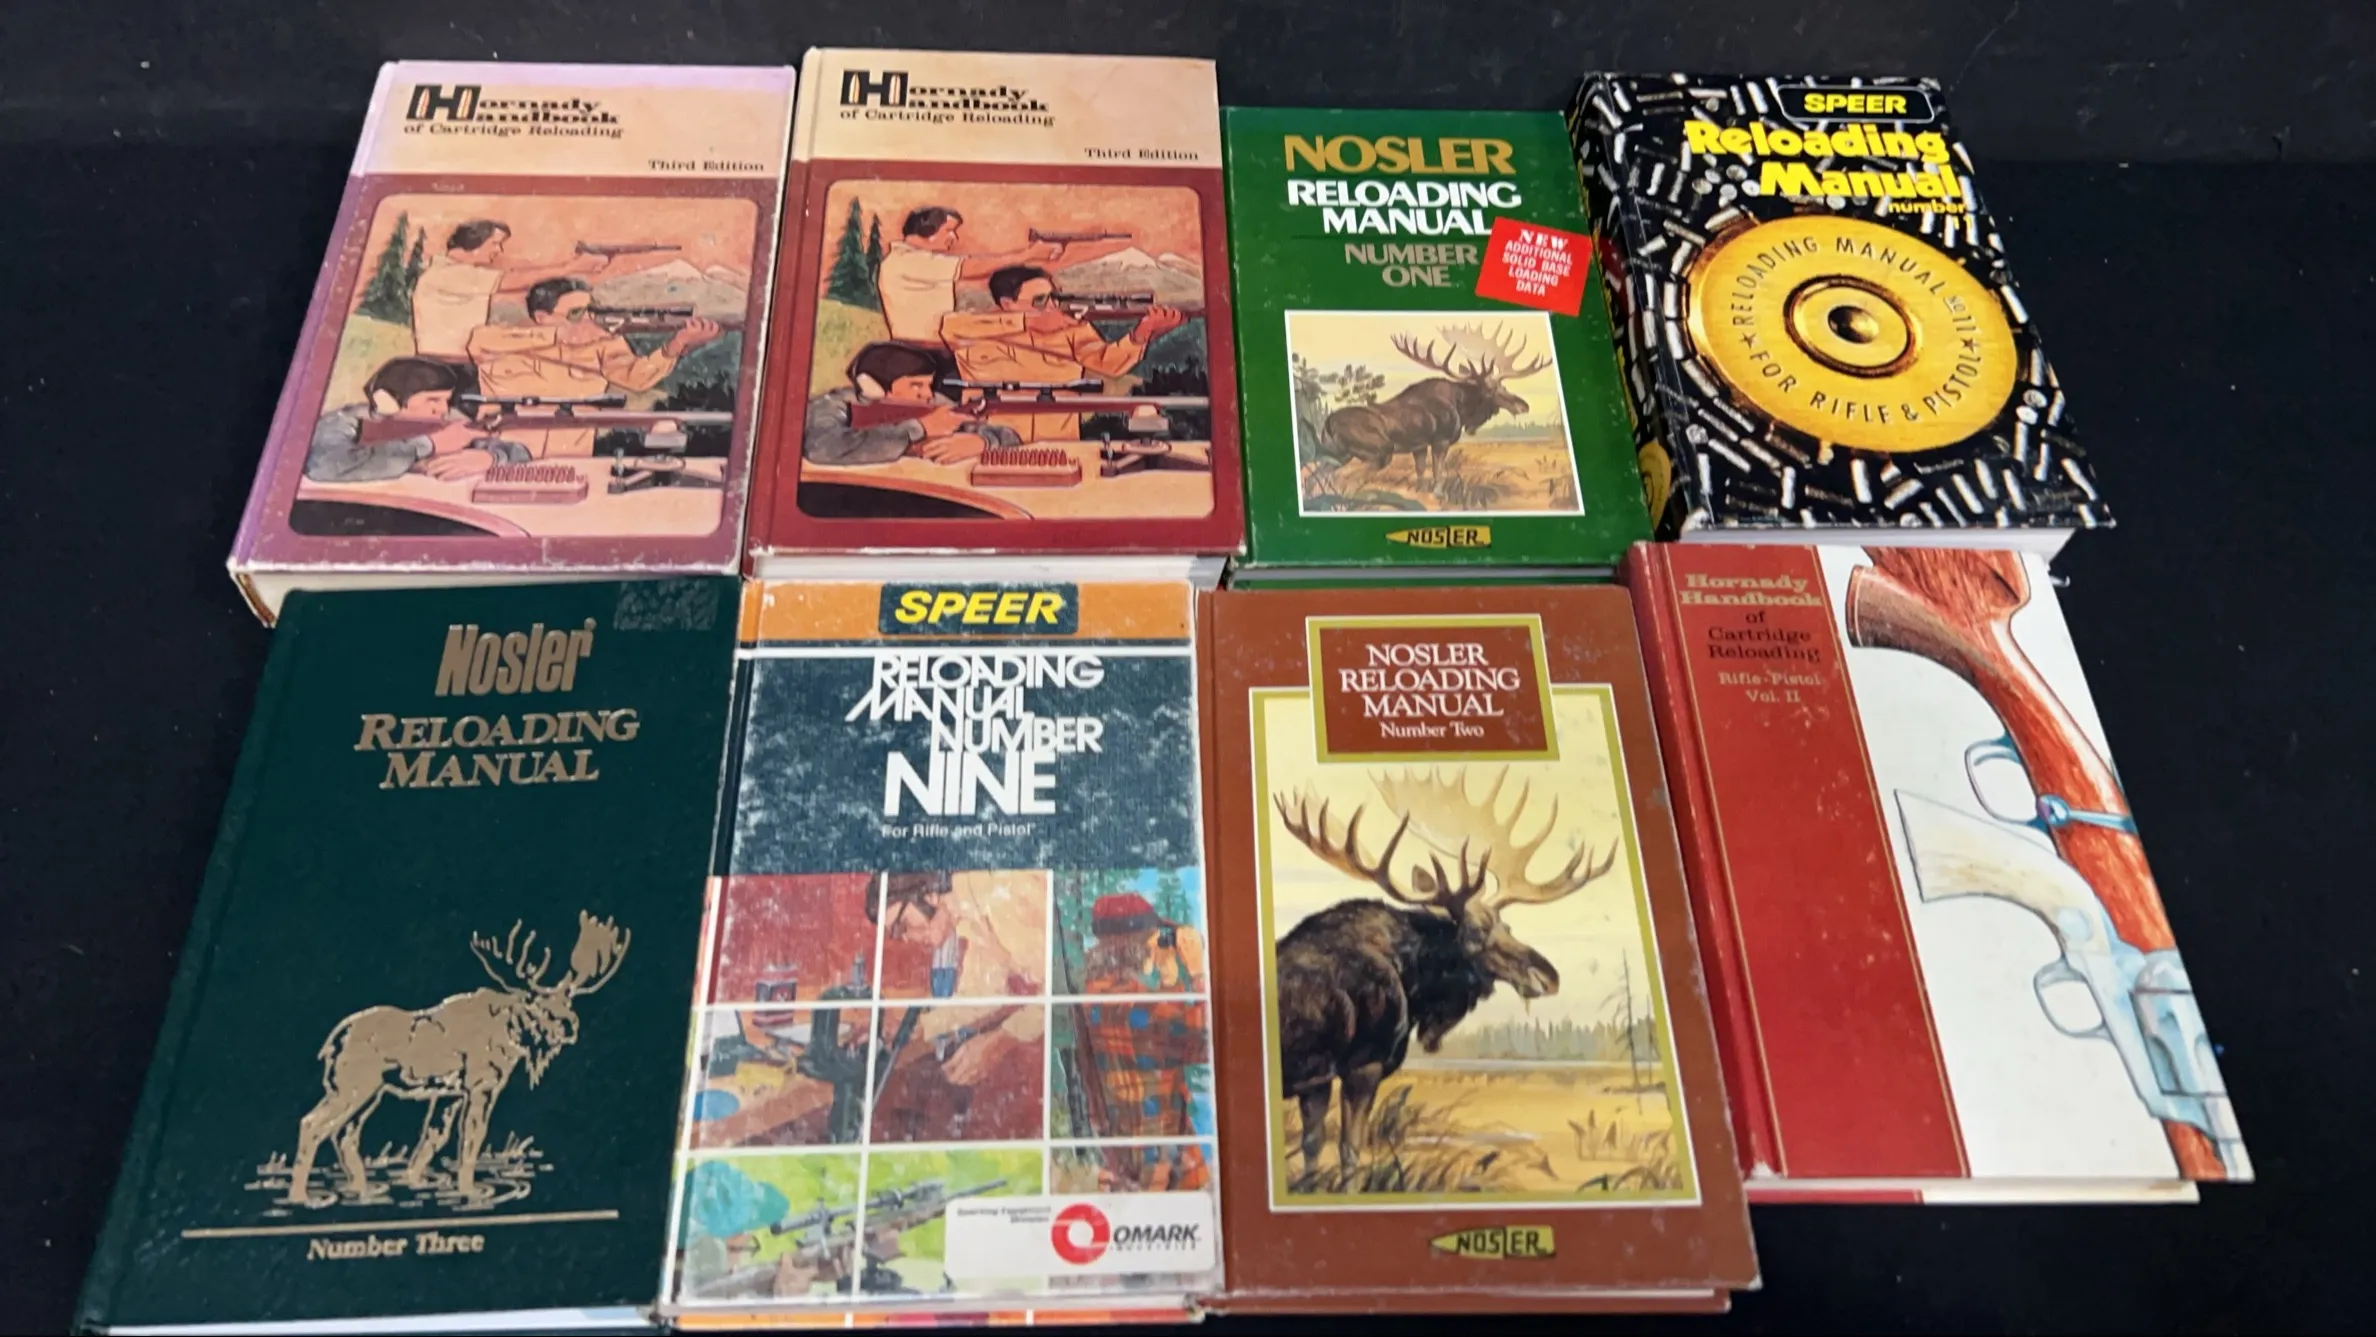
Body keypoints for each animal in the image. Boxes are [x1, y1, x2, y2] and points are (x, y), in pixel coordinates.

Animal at [282, 912, 630, 1207]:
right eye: (536, 1003)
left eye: (568, 1000)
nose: (571, 1026)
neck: (510, 1034)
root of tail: (333, 1041)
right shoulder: (481, 1081)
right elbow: (472, 1136)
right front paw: (470, 1190)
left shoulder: (448, 1091)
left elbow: (434, 1136)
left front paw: (415, 1182)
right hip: (353, 1085)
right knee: (312, 1124)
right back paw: (302, 1196)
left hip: (371, 1091)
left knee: (345, 1135)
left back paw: (362, 1189)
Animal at [1271, 768, 1616, 1175]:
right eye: (1477, 932)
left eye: (1508, 926)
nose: (1548, 976)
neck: (1413, 980)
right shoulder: (1363, 1064)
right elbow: (1349, 1150)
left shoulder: (1316, 1078)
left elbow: (1312, 1149)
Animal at [1317, 323, 1552, 492]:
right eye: (1494, 390)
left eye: (1504, 386)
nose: (1523, 405)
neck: (1462, 408)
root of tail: (1328, 423)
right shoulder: (1441, 439)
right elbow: (1439, 474)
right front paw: (1438, 495)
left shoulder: (1419, 445)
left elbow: (1421, 474)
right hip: (1380, 451)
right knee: (1347, 479)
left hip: (1339, 453)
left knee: (1322, 474)